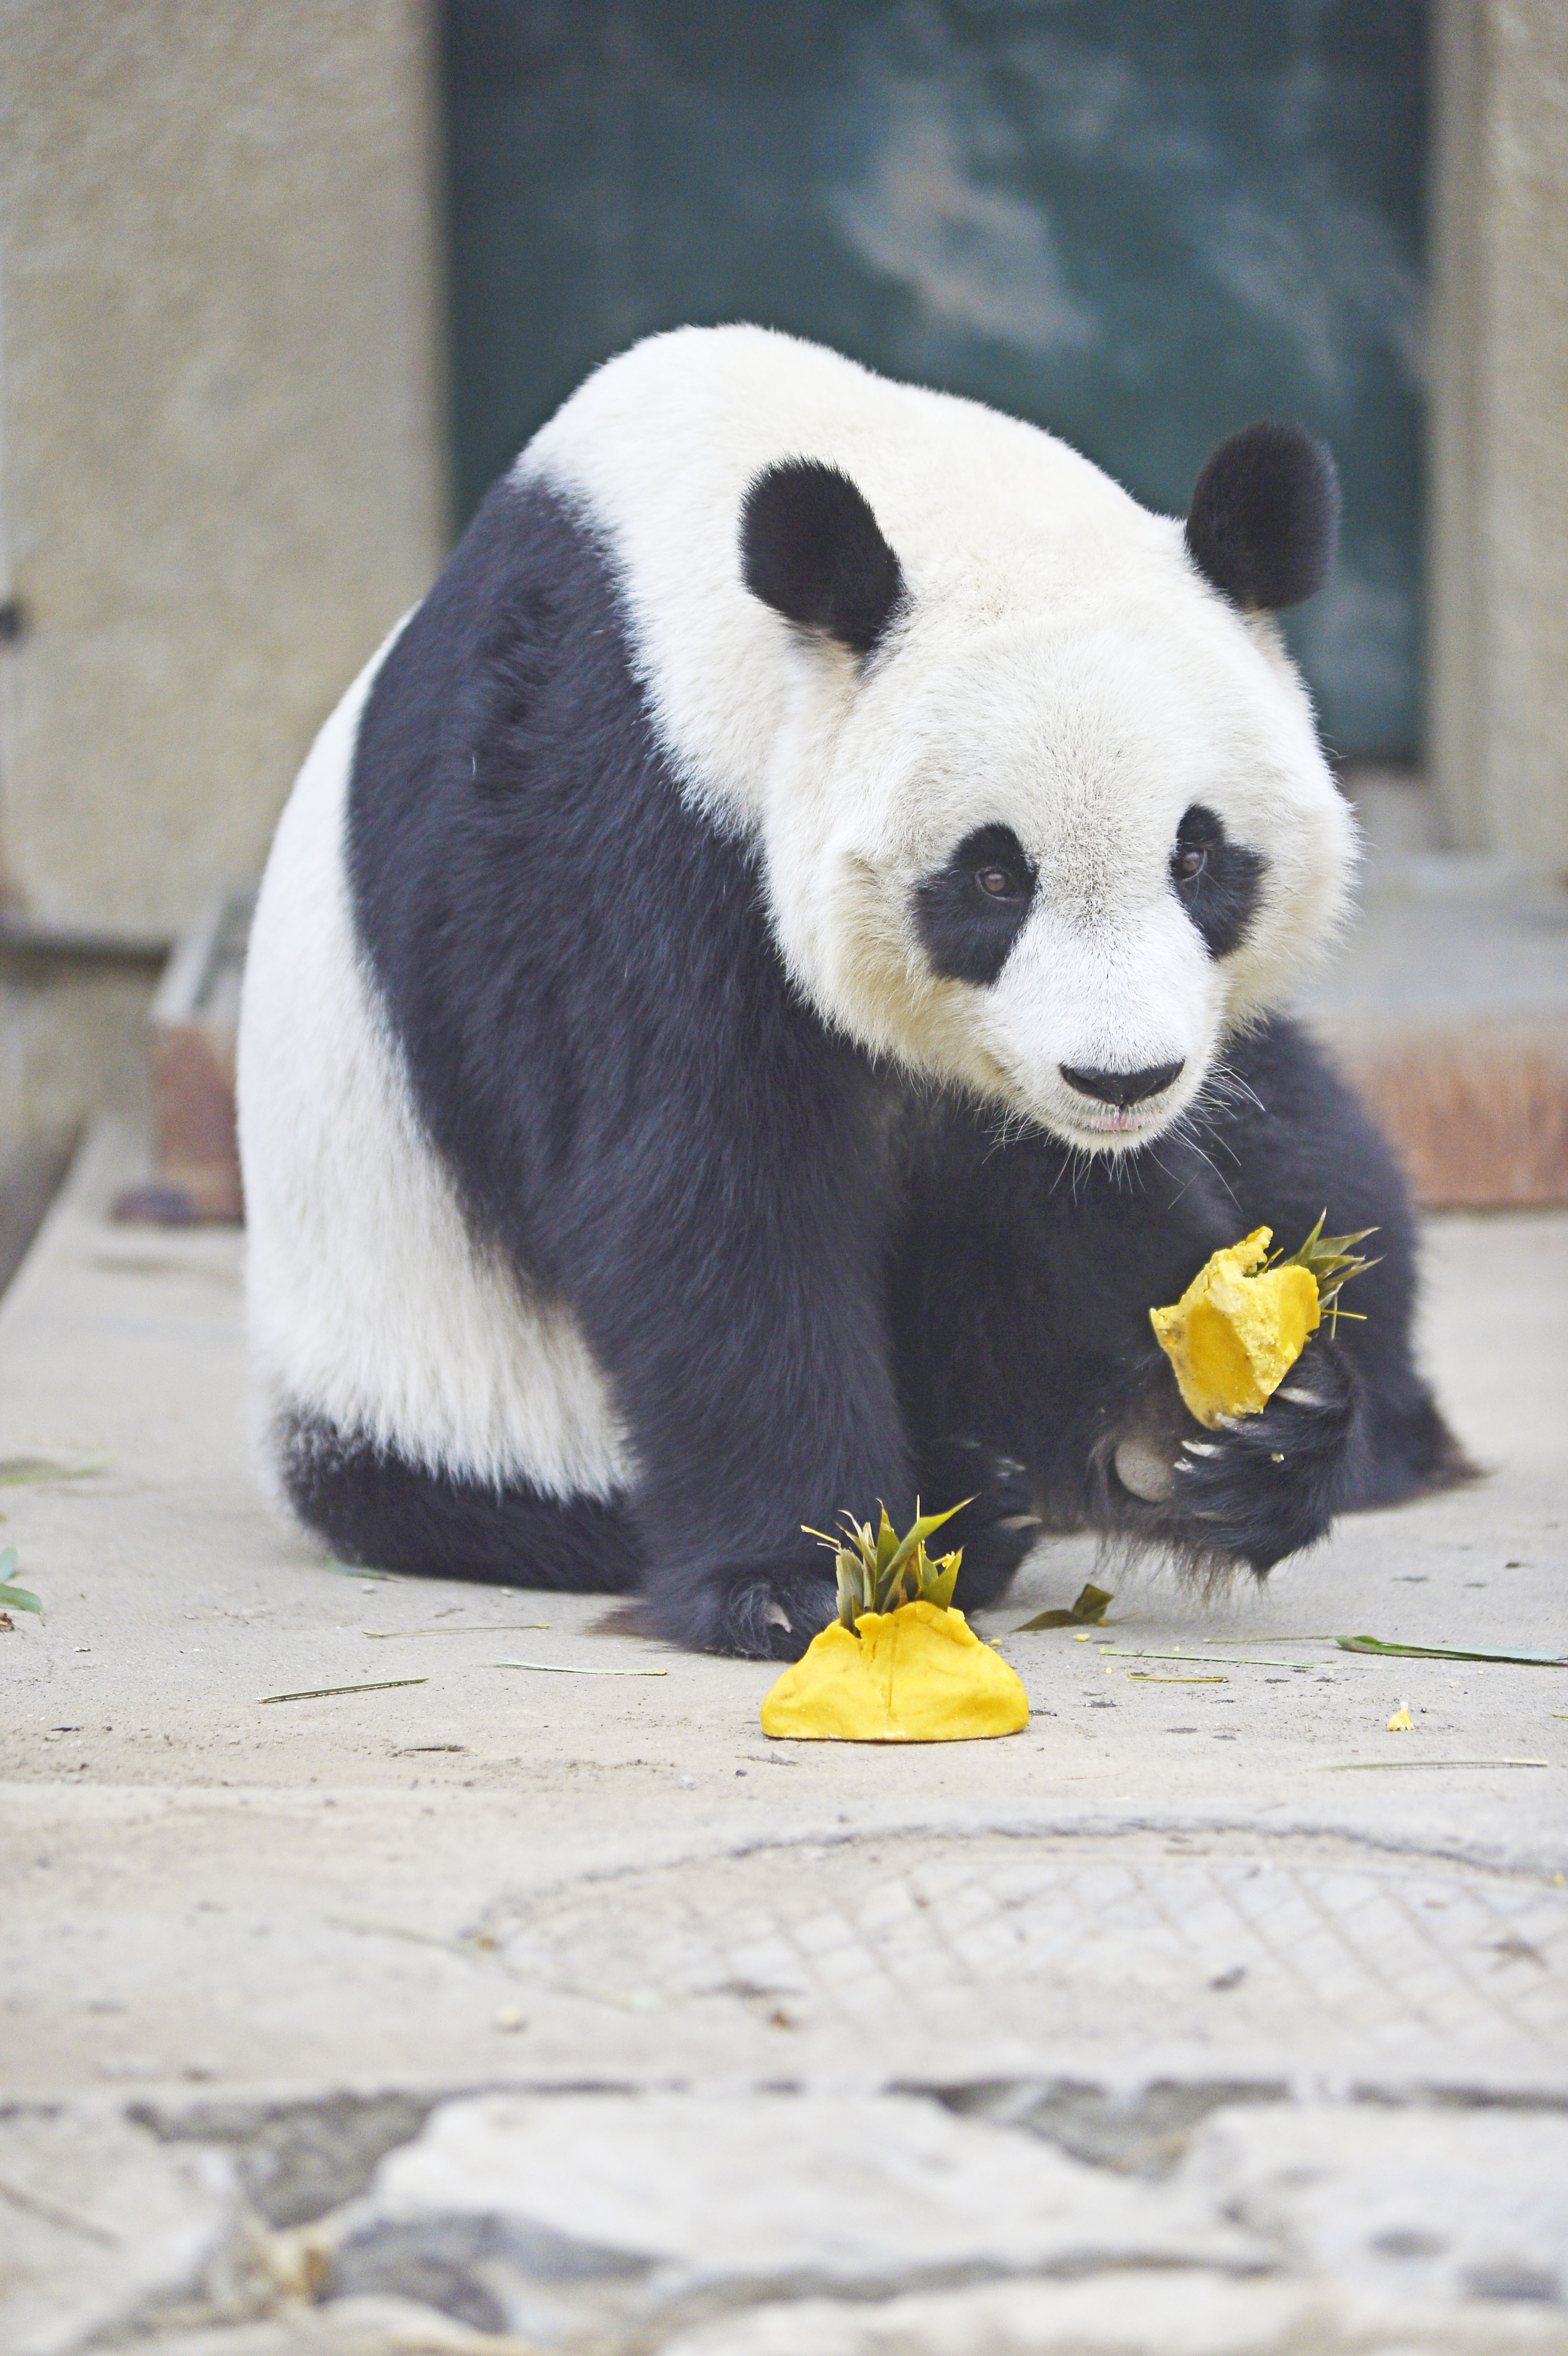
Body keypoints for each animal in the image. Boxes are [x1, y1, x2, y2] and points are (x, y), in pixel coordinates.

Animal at [235, 327, 1469, 1658]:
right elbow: (707, 1192)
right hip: (444, 1380)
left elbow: (1027, 1207)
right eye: (992, 874)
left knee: (1310, 1144)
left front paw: (1206, 1428)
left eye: (1196, 858)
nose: (1121, 1079)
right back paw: (970, 1517)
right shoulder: (599, 820)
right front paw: (798, 1577)